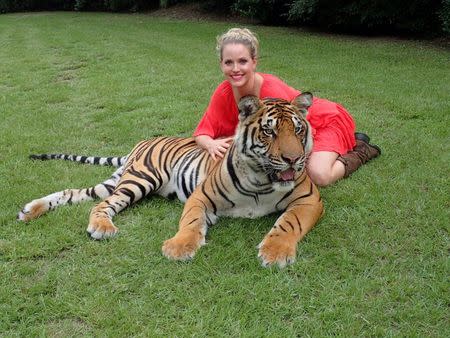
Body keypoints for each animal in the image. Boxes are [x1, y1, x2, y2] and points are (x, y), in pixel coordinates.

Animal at [18, 93, 324, 268]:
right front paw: (179, 248)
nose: (293, 159)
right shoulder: (202, 196)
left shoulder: (309, 200)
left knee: (75, 193)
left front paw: (275, 252)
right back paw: (101, 227)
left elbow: (288, 223)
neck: (262, 179)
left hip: (118, 182)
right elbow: (191, 221)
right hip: (140, 180)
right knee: (101, 205)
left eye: (298, 130)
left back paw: (30, 210)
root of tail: (141, 142)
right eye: (269, 132)